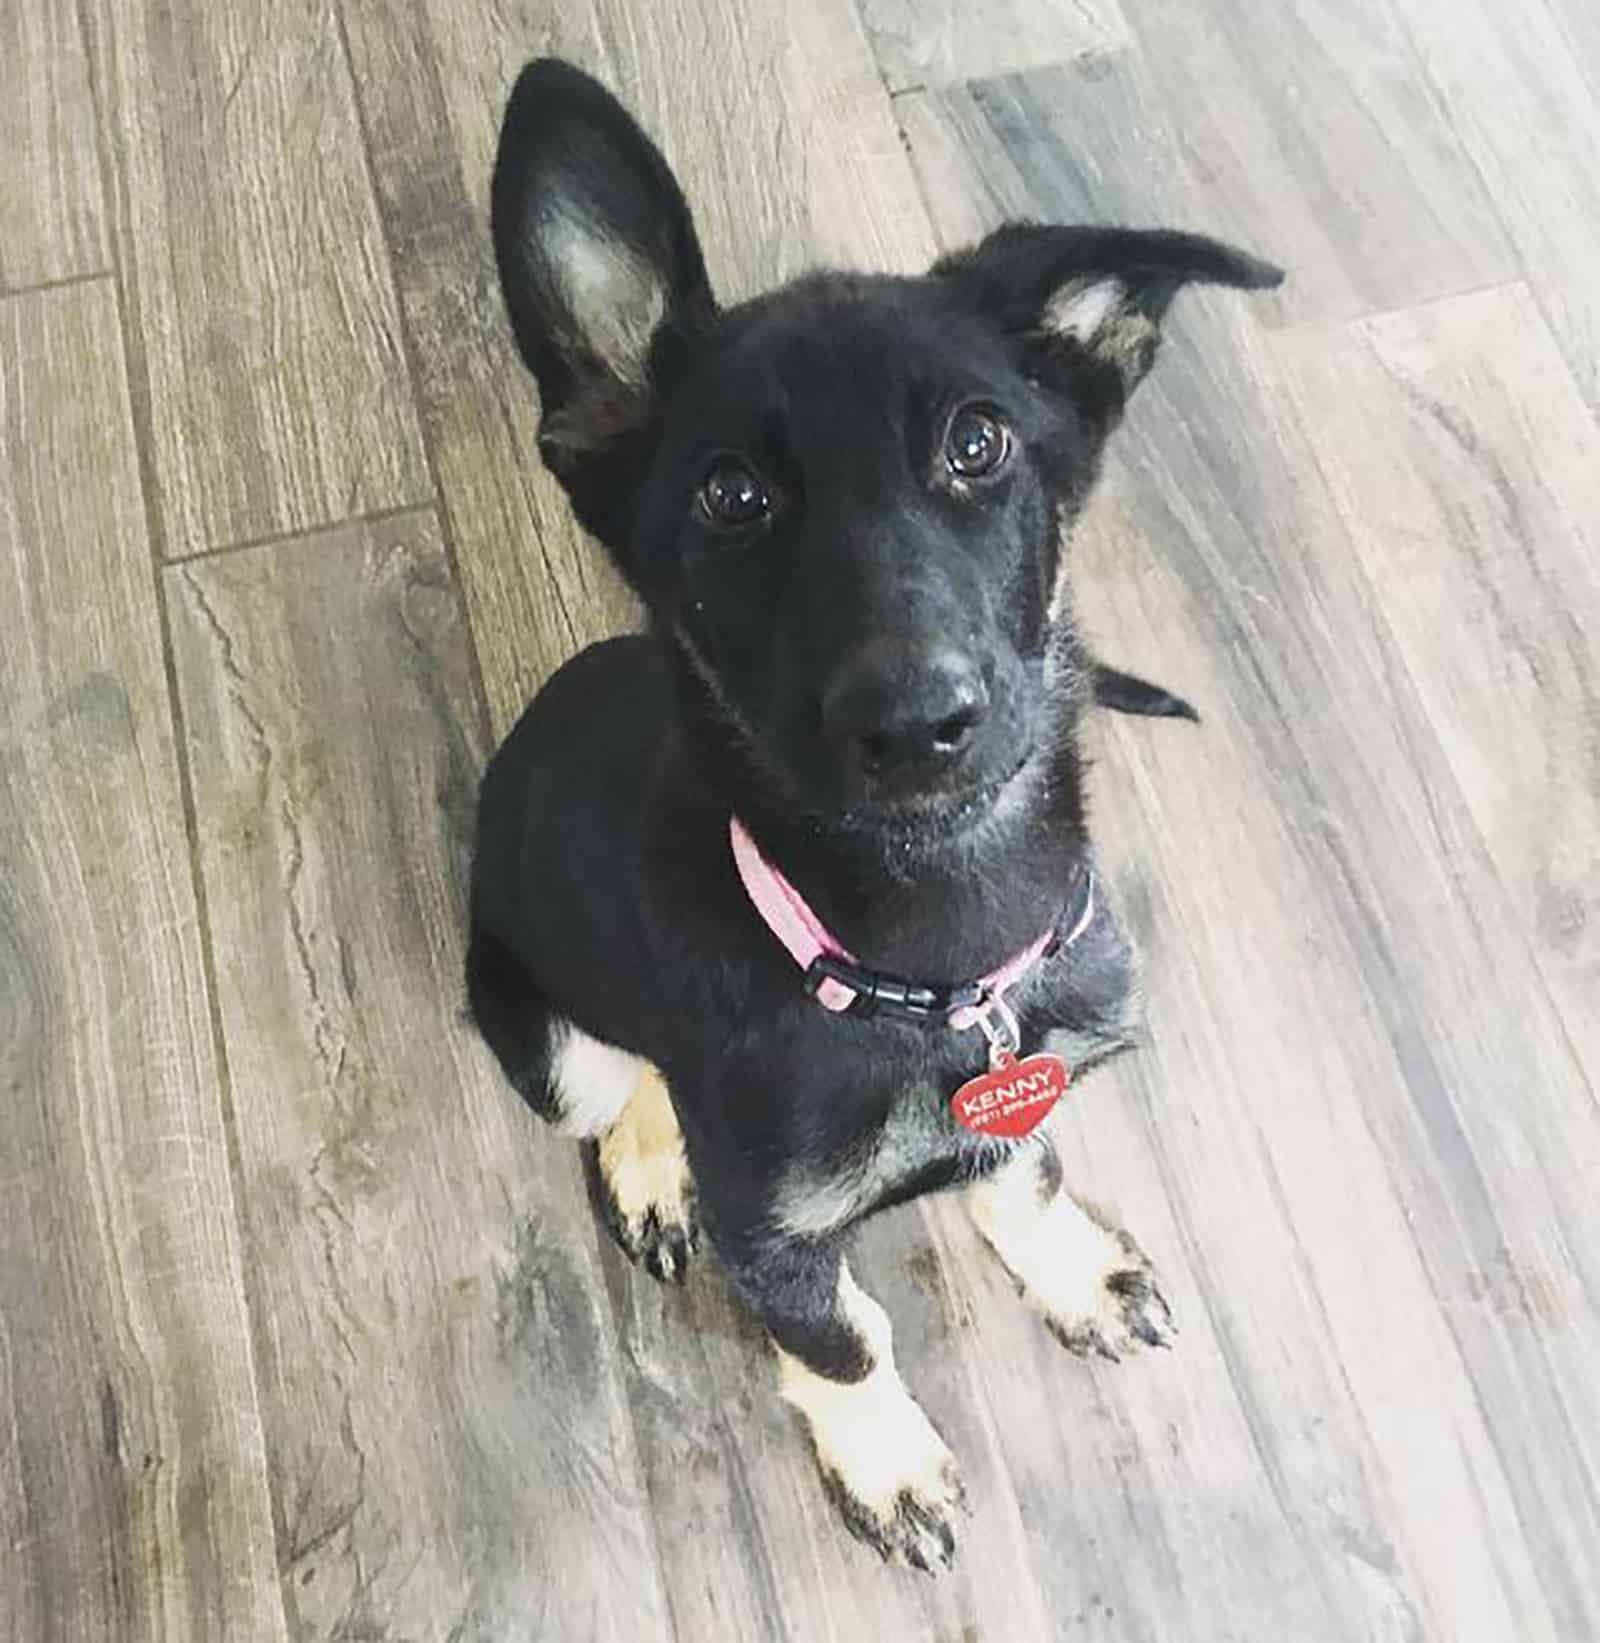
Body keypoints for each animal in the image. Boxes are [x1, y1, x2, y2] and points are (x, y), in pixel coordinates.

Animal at [469, 60, 1281, 1564]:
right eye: (731, 494)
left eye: (978, 442)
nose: (917, 723)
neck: (929, 951)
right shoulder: (777, 1241)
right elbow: (843, 1338)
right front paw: (886, 1457)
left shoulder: (1022, 1092)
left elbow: (1024, 1172)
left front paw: (1068, 1266)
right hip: (537, 1029)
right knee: (614, 1081)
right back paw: (654, 1162)